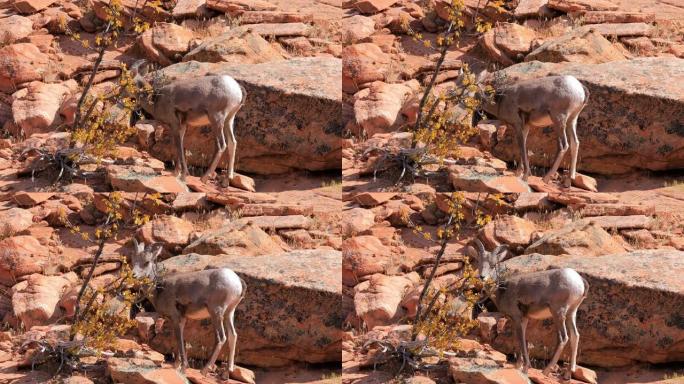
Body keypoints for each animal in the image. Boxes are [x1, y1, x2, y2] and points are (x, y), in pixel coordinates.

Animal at [131, 240, 246, 376]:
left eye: (147, 262)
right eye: (133, 260)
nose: (133, 275)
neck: (158, 290)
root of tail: (237, 281)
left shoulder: (177, 318)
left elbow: (180, 341)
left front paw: (182, 368)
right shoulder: (181, 320)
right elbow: (178, 340)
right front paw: (176, 366)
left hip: (216, 313)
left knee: (221, 338)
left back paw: (204, 369)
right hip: (229, 312)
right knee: (233, 336)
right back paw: (226, 373)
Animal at [470, 240, 588, 378]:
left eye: (493, 265)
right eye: (479, 263)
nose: (482, 277)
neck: (502, 291)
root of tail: (579, 281)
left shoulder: (517, 318)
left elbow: (521, 340)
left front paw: (525, 368)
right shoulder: (523, 320)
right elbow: (519, 340)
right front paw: (518, 366)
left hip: (558, 313)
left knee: (564, 338)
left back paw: (546, 370)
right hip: (571, 313)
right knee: (575, 336)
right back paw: (568, 373)